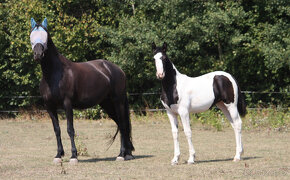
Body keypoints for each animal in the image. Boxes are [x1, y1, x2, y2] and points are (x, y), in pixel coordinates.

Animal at [29, 17, 134, 163]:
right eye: (31, 36)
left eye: (45, 37)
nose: (38, 54)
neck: (54, 74)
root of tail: (118, 70)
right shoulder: (49, 106)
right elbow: (57, 130)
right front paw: (58, 155)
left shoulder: (67, 104)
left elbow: (70, 129)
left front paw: (74, 156)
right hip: (107, 104)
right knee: (120, 124)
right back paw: (127, 153)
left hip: (117, 101)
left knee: (123, 125)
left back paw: (121, 154)